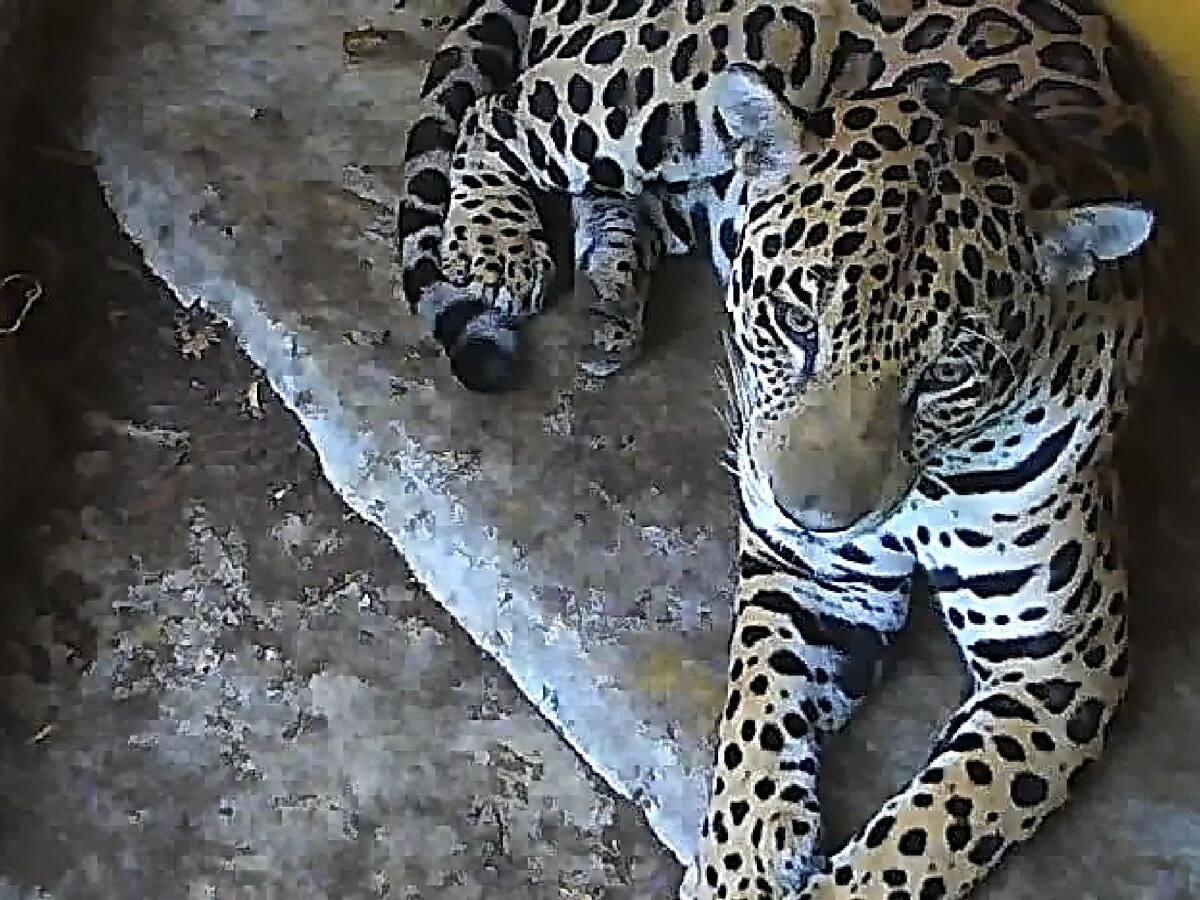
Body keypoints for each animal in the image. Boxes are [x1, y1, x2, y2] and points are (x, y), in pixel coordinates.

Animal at [398, 1, 1172, 898]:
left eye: (947, 370)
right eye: (797, 321)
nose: (814, 516)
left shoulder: (1058, 666)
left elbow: (932, 829)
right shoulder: (811, 575)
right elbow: (758, 717)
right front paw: (738, 864)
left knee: (618, 194)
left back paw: (610, 300)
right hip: (662, 86)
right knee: (500, 116)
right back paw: (498, 245)